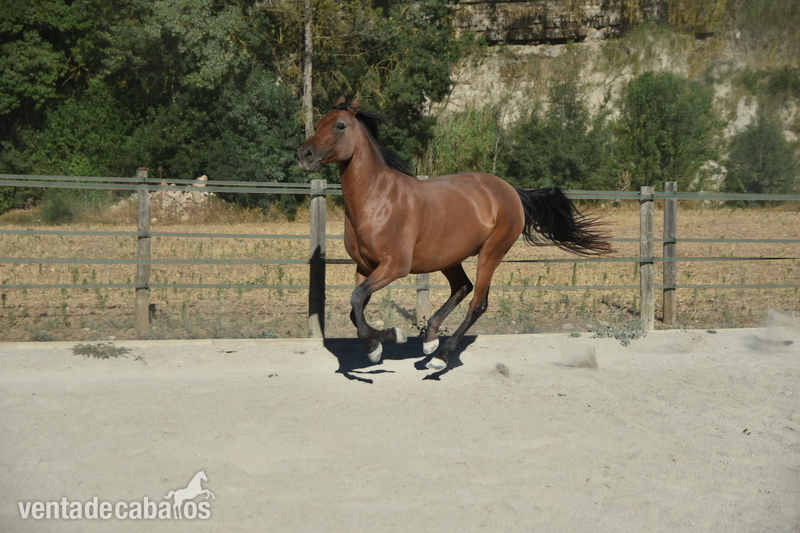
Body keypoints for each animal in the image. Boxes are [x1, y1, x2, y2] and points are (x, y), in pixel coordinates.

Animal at [297, 96, 612, 370]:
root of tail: (511, 191)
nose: (304, 155)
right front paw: (388, 338)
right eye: (318, 124)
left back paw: (440, 357)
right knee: (462, 287)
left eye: (340, 125)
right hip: (448, 257)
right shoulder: (364, 267)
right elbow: (355, 306)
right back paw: (430, 339)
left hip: (490, 253)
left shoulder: (395, 266)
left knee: (477, 302)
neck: (378, 198)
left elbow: (356, 299)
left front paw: (378, 346)